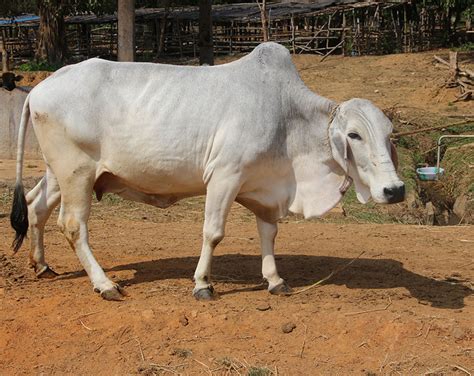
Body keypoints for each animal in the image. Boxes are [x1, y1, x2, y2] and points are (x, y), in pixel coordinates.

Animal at [11, 41, 404, 300]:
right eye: (354, 135)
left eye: (389, 134)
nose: (395, 190)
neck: (287, 118)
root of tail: (41, 87)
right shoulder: (225, 176)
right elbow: (213, 232)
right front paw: (203, 284)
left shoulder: (263, 188)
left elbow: (269, 233)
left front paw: (275, 280)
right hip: (75, 172)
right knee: (73, 225)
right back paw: (105, 284)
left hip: (60, 173)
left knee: (35, 206)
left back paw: (42, 265)